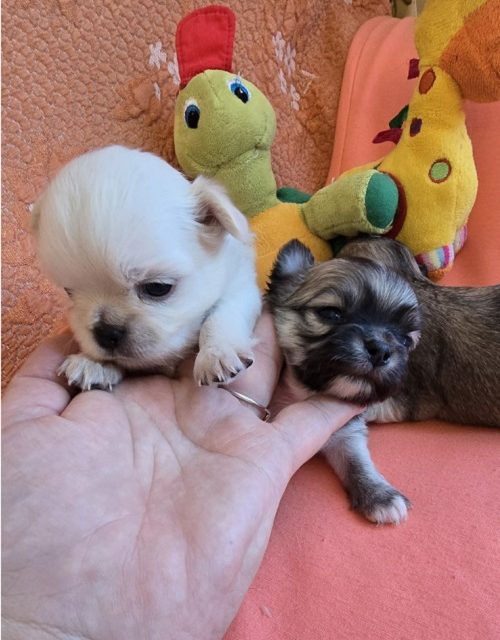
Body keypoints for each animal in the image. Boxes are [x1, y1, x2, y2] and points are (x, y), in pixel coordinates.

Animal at [32, 145, 261, 390]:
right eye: (69, 292)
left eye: (158, 288)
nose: (106, 332)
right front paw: (94, 364)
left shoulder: (241, 286)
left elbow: (221, 315)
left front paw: (216, 354)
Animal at [267, 236, 500, 524]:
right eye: (330, 313)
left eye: (405, 340)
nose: (380, 350)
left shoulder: (351, 427)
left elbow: (356, 459)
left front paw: (379, 495)